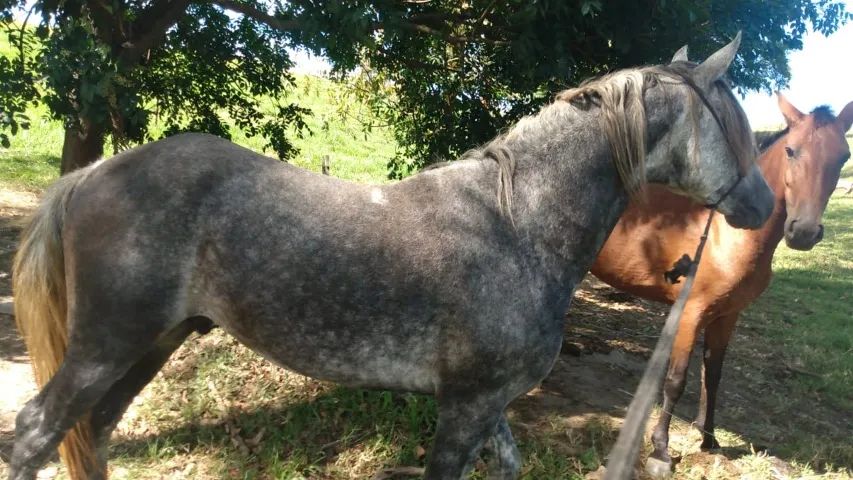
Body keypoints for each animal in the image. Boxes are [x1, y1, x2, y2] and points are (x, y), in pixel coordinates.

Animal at [10, 35, 773, 480]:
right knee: (36, 431)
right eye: (735, 121)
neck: (516, 224)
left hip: (151, 343)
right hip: (106, 344)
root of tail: (95, 174)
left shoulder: (490, 406)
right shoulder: (464, 407)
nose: (765, 207)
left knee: (90, 433)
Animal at [591, 91, 853, 477]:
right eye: (791, 150)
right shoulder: (690, 313)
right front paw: (661, 452)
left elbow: (712, 376)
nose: (804, 232)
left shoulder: (727, 316)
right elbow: (676, 380)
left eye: (844, 155)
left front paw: (709, 439)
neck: (724, 232)